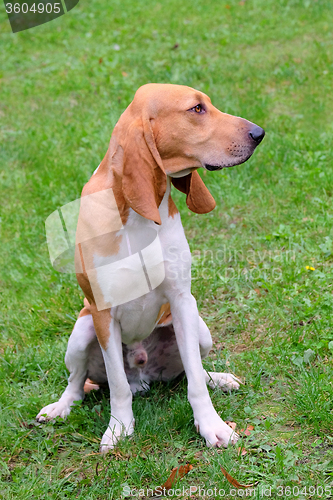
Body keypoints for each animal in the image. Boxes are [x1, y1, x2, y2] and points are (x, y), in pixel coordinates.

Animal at [37, 84, 264, 452]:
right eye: (197, 109)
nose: (259, 133)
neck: (136, 216)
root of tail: (143, 375)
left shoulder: (182, 300)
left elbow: (195, 382)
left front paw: (211, 426)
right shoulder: (102, 313)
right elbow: (117, 386)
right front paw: (119, 428)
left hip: (199, 328)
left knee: (196, 371)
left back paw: (219, 378)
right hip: (81, 332)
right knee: (78, 382)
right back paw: (61, 406)